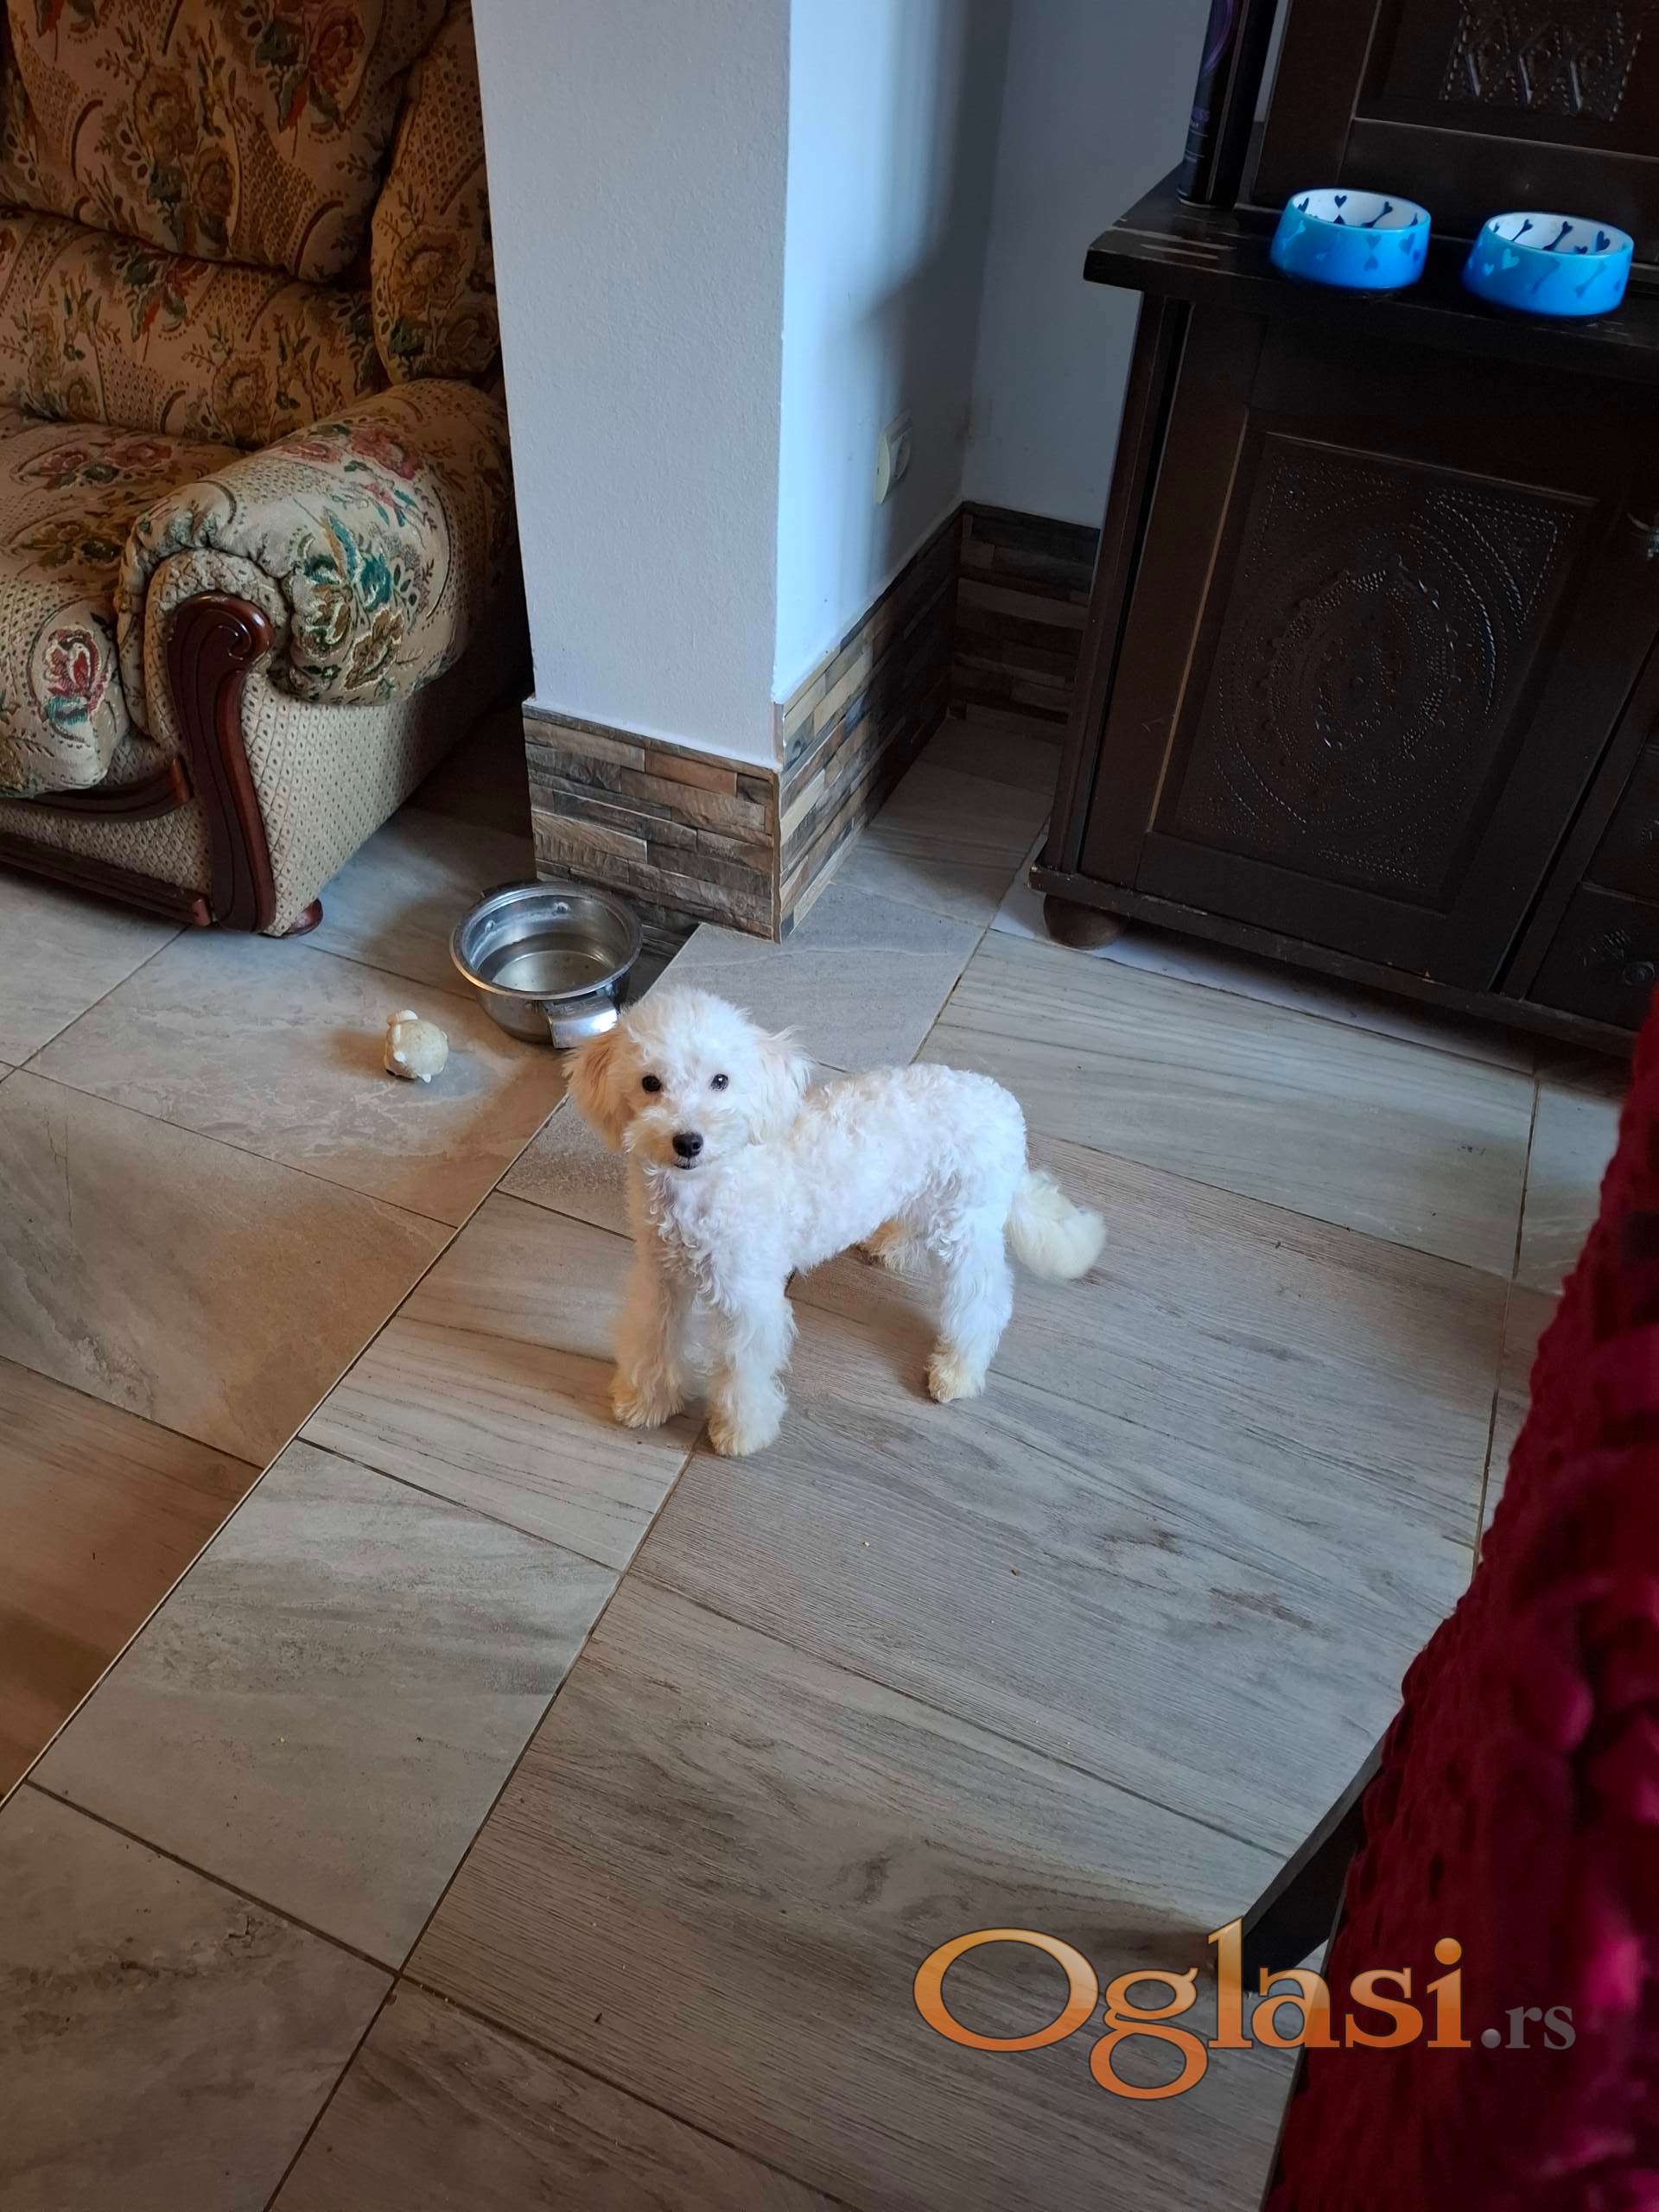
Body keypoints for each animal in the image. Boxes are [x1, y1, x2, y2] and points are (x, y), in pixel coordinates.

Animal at [566, 985, 1105, 1456]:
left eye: (721, 1081)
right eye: (650, 1083)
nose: (688, 1141)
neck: (705, 1189)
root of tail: (1005, 1108)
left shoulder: (749, 1300)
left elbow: (743, 1369)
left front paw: (741, 1432)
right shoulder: (661, 1280)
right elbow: (653, 1340)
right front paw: (645, 1402)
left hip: (965, 1224)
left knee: (984, 1300)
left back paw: (957, 1371)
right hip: (924, 1195)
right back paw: (891, 1244)